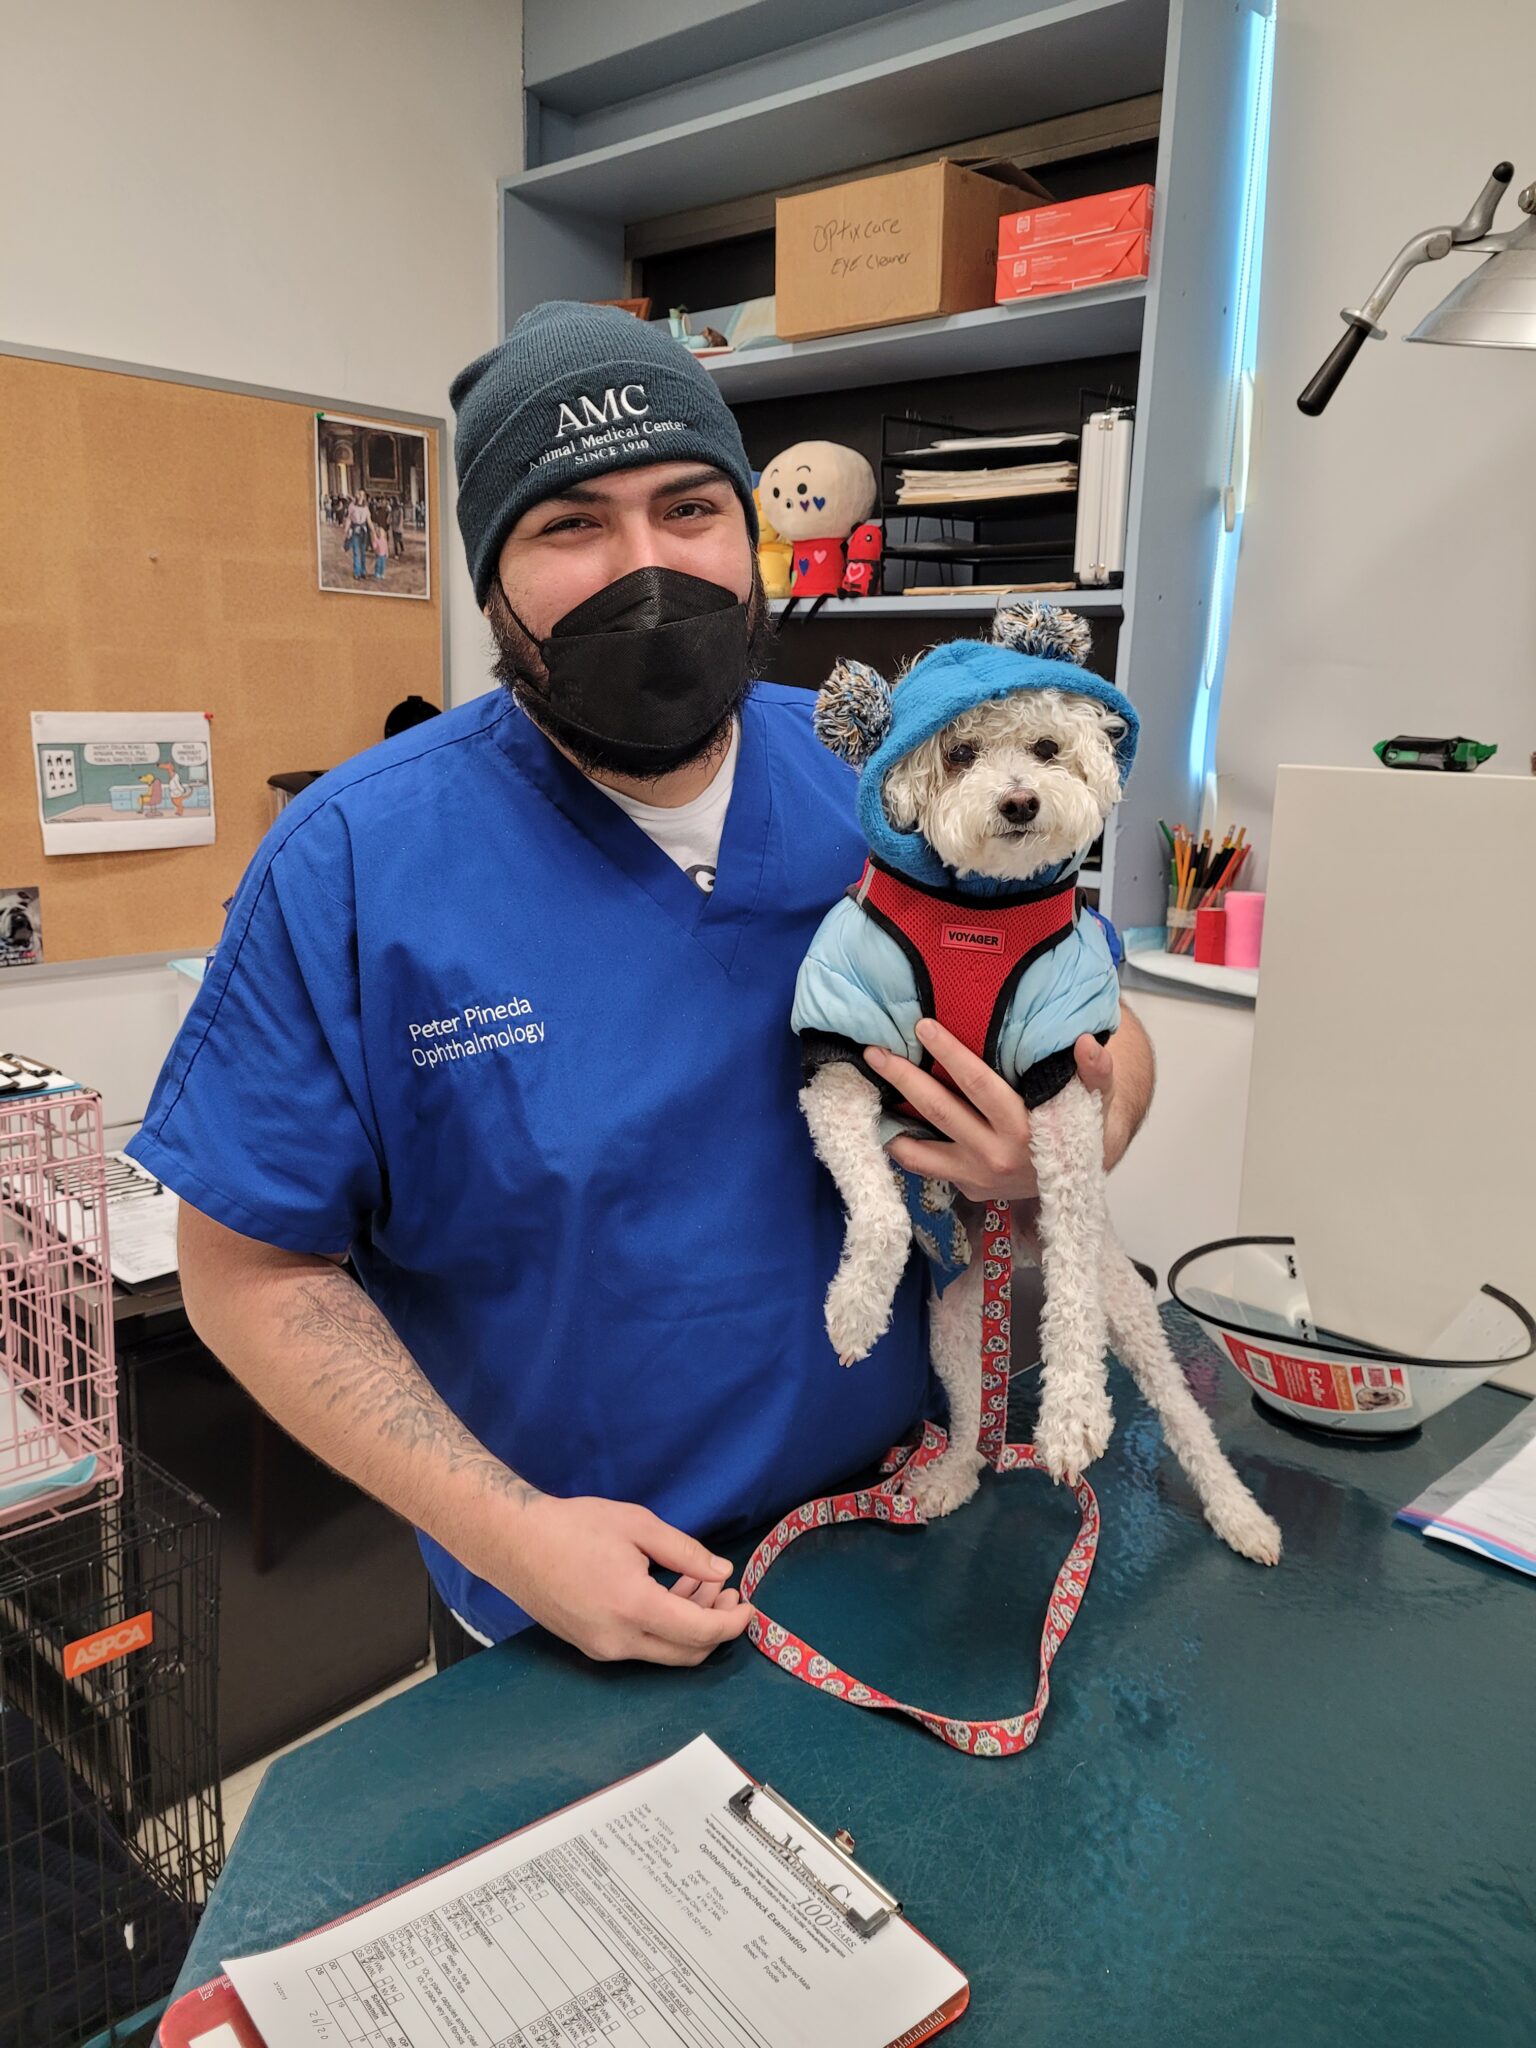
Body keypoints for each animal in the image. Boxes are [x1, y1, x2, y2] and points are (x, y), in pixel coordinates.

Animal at [786, 606, 1277, 1564]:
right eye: (960, 753)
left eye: (1047, 747)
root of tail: (1019, 1261)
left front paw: (1073, 1416)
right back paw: (947, 1475)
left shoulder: (1063, 1083)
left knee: (1181, 1409)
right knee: (974, 1421)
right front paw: (855, 1308)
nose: (1019, 801)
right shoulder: (843, 1058)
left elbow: (1076, 1292)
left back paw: (1240, 1513)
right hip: (950, 1321)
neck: (977, 910)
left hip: (1131, 1304)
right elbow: (878, 1207)